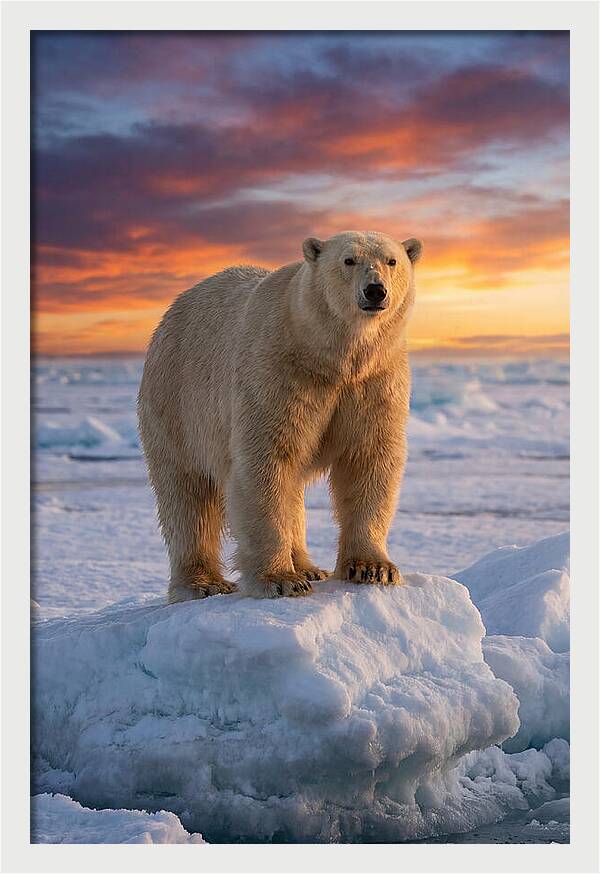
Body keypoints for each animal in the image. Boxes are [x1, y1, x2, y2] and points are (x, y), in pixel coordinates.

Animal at [137, 230, 422, 602]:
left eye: (391, 261)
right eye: (349, 260)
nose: (375, 290)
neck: (329, 356)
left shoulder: (376, 380)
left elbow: (369, 458)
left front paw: (373, 568)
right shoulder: (277, 371)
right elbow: (266, 461)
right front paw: (281, 579)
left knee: (291, 490)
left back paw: (309, 567)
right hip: (176, 401)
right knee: (187, 495)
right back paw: (203, 583)